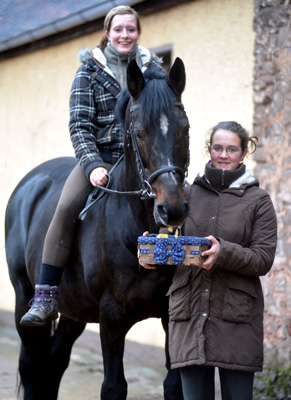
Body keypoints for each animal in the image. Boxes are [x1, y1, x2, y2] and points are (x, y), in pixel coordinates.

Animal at [5, 57, 190, 400]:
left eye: (184, 128)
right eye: (139, 133)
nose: (171, 208)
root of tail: (30, 181)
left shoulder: (171, 314)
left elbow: (174, 385)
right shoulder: (112, 315)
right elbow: (114, 387)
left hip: (73, 310)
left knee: (54, 363)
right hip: (23, 294)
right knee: (32, 364)